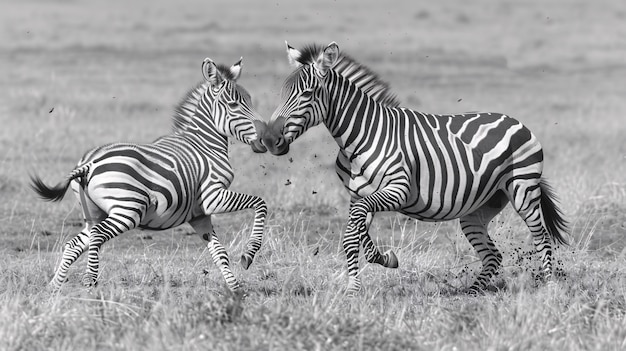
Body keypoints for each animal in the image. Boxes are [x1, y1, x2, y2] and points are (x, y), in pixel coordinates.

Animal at [30, 56, 268, 292]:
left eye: (250, 101)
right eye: (234, 105)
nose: (266, 138)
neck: (204, 145)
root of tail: (90, 163)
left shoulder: (200, 215)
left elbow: (219, 253)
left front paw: (236, 291)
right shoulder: (213, 196)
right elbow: (260, 203)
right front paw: (249, 254)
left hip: (95, 213)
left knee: (74, 244)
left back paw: (53, 288)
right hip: (127, 209)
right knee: (97, 235)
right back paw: (90, 280)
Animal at [258, 40, 564, 294]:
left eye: (307, 94)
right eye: (282, 93)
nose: (269, 140)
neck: (361, 135)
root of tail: (514, 120)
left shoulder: (399, 190)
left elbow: (355, 230)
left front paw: (368, 273)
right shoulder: (358, 196)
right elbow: (354, 235)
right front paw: (363, 278)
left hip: (523, 190)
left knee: (541, 237)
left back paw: (550, 288)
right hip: (478, 209)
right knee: (493, 255)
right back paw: (472, 293)